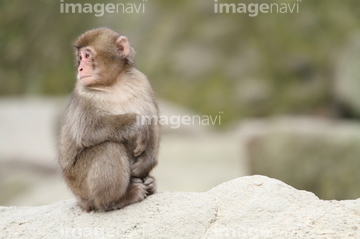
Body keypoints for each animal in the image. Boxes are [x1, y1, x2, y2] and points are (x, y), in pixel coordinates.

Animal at [58, 27, 160, 212]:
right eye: (80, 58)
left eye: (87, 55)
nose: (80, 68)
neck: (114, 83)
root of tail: (80, 200)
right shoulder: (83, 94)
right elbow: (87, 130)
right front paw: (137, 124)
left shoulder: (142, 82)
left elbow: (153, 122)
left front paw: (146, 162)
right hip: (80, 184)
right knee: (108, 147)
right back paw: (117, 200)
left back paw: (149, 183)